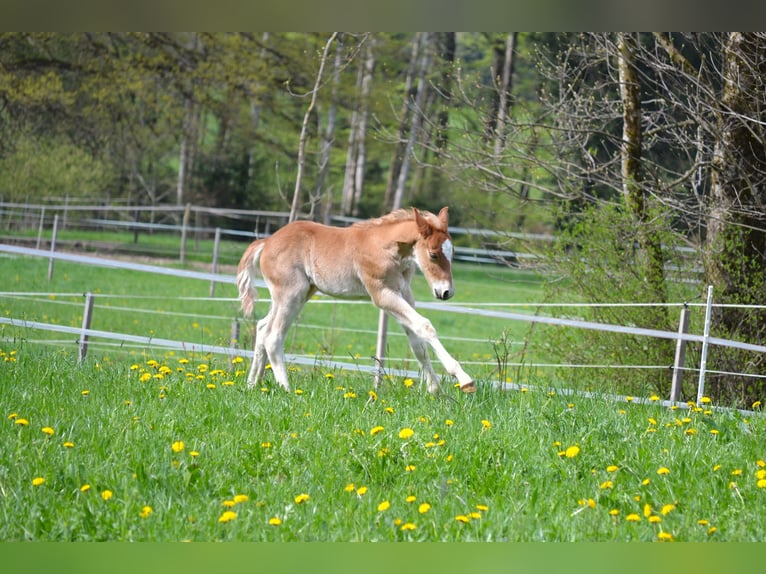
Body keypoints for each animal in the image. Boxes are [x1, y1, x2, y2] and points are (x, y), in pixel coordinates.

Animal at [236, 206, 476, 394]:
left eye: (453, 252)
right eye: (433, 254)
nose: (446, 292)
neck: (386, 248)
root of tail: (267, 242)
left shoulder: (405, 294)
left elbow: (417, 343)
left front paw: (435, 390)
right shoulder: (382, 295)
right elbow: (425, 326)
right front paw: (463, 378)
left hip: (298, 294)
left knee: (262, 327)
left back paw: (252, 384)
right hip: (291, 294)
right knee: (273, 336)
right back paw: (287, 389)